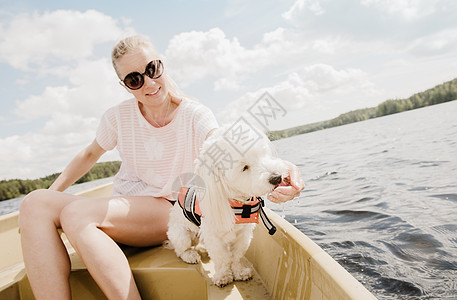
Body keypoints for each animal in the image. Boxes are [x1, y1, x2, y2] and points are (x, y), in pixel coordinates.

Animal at [167, 123, 286, 288]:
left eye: (263, 154)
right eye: (244, 167)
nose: (276, 178)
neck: (236, 200)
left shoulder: (243, 234)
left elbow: (236, 255)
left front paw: (239, 272)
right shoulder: (213, 237)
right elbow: (222, 257)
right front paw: (223, 276)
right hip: (181, 234)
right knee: (180, 249)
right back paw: (190, 254)